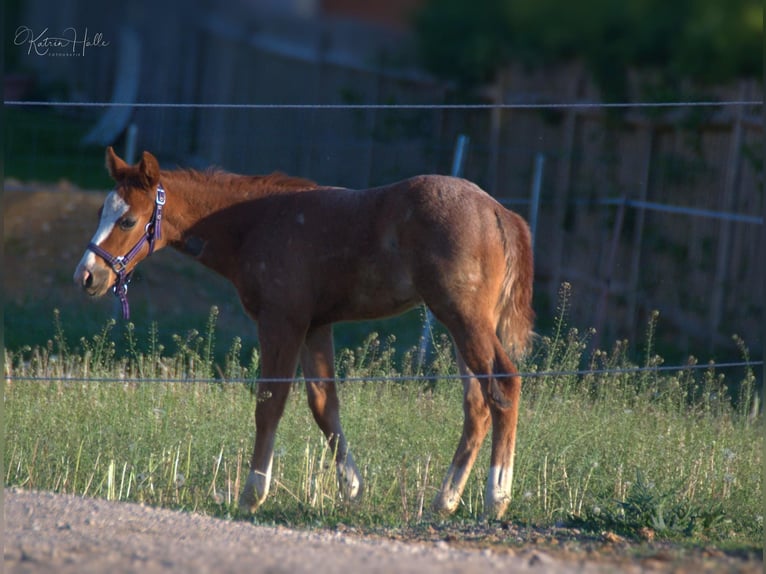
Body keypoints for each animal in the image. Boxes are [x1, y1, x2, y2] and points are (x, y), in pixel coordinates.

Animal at [75, 148, 536, 520]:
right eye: (99, 213)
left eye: (128, 220)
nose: (87, 276)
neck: (255, 224)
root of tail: (501, 212)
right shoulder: (316, 325)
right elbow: (323, 405)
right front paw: (352, 490)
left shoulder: (282, 320)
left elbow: (270, 402)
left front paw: (252, 494)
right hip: (461, 323)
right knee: (477, 403)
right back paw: (446, 500)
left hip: (462, 317)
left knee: (503, 385)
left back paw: (496, 497)